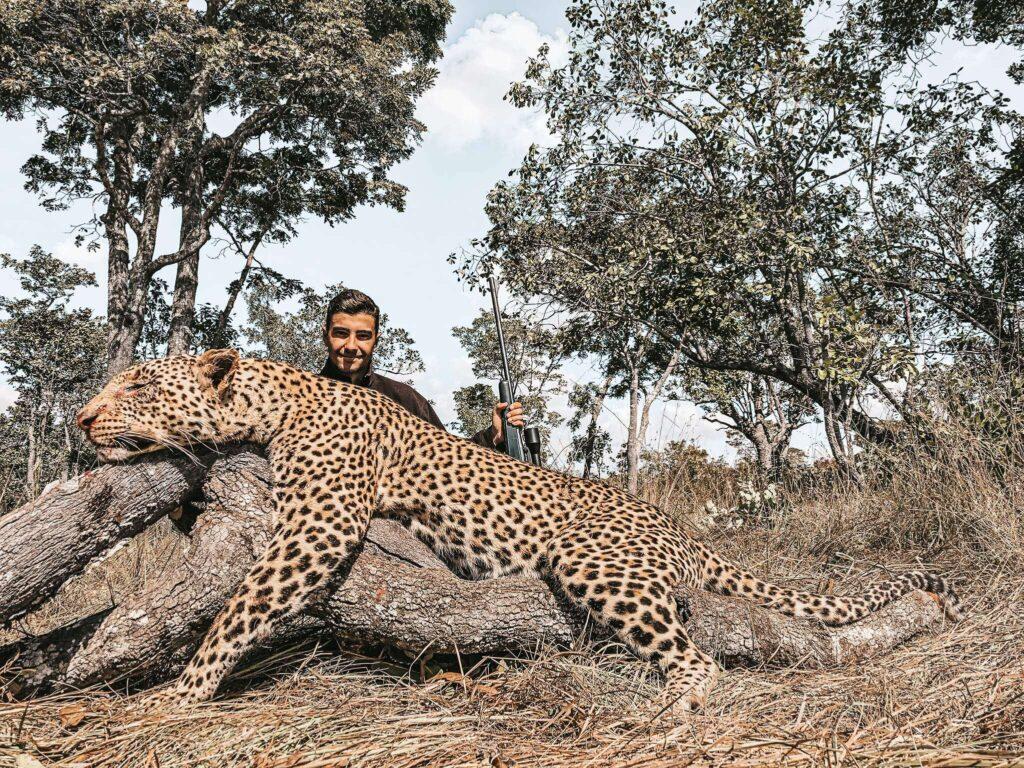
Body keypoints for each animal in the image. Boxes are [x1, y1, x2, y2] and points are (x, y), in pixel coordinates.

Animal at [76, 350, 962, 714]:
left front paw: (184, 692)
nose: (83, 419)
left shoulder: (316, 529)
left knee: (699, 660)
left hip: (593, 559)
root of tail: (676, 523)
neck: (276, 404)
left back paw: (666, 708)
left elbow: (238, 608)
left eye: (141, 385)